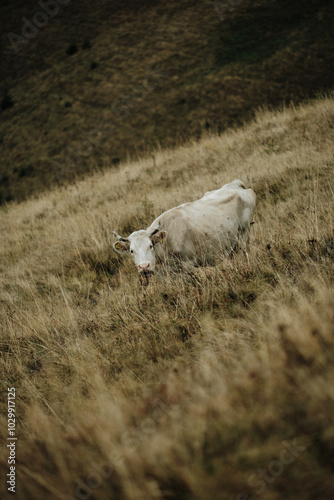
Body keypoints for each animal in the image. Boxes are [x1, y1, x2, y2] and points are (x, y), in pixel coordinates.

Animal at [112, 180, 256, 286]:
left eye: (151, 246)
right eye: (131, 251)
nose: (144, 267)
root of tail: (235, 184)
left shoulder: (187, 267)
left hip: (243, 235)